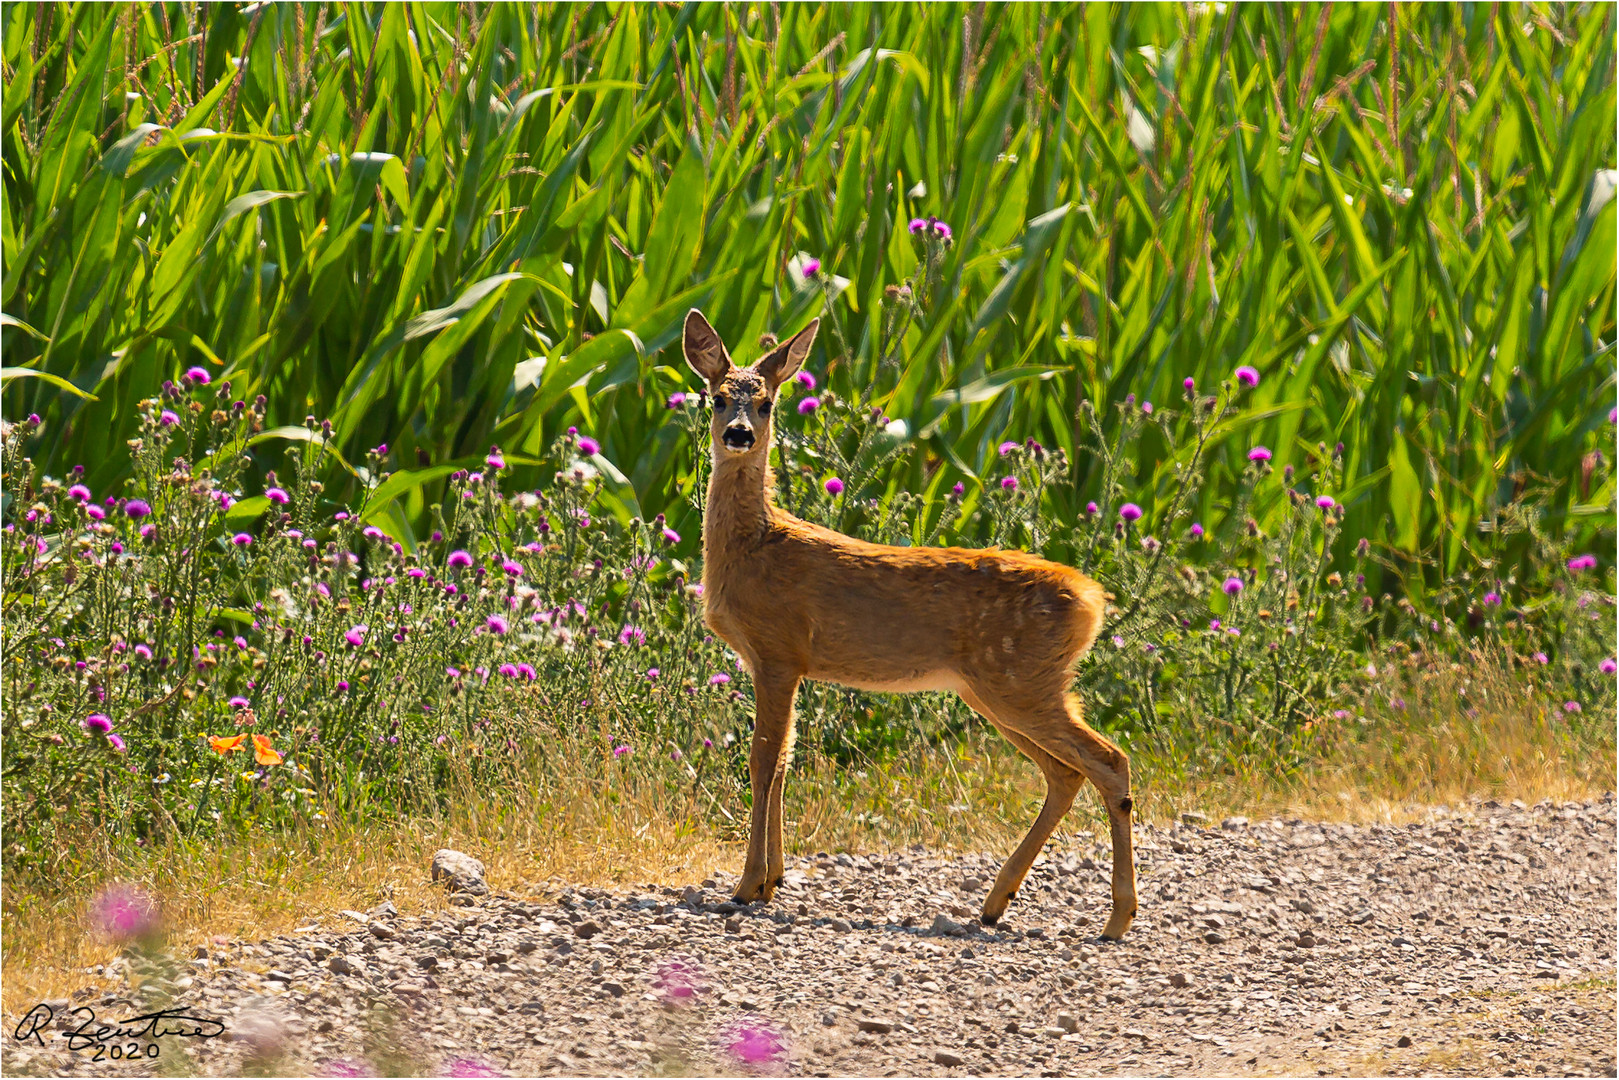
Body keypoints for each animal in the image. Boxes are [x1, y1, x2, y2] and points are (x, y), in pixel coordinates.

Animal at [683, 310, 1139, 939]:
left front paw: (748, 885)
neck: (754, 546)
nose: (739, 435)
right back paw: (995, 903)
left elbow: (763, 760)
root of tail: (1093, 600)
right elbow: (785, 761)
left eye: (768, 403)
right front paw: (772, 880)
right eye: (717, 397)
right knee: (1066, 773)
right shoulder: (782, 662)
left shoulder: (778, 649)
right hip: (1002, 688)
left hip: (1019, 680)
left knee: (1109, 761)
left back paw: (1116, 918)